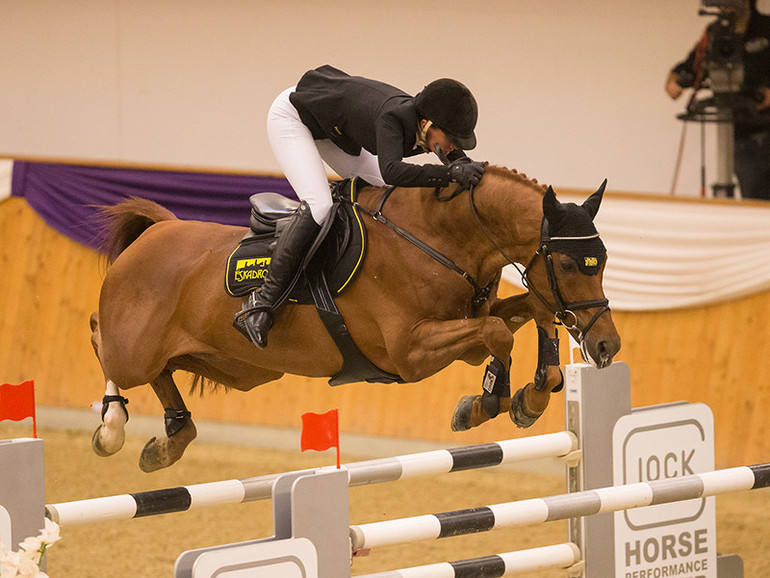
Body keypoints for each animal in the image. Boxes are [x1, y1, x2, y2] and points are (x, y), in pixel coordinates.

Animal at [90, 164, 616, 470]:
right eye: (570, 264)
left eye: (604, 260)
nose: (607, 346)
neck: (435, 240)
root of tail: (156, 232)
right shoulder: (411, 353)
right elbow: (498, 333)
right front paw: (486, 404)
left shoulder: (465, 332)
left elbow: (532, 310)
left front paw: (531, 397)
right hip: (134, 350)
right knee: (102, 341)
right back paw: (112, 428)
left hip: (240, 368)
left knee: (165, 372)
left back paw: (169, 441)